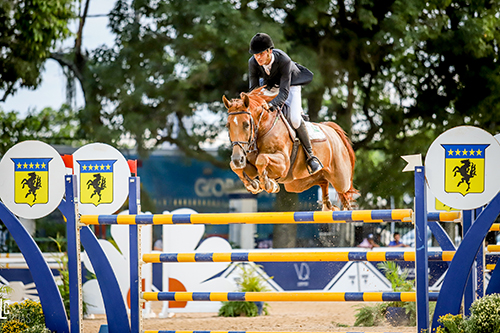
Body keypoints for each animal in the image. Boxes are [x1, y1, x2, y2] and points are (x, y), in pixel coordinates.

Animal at [222, 87, 356, 209]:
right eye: (228, 125)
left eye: (246, 125)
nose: (237, 159)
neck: (263, 129)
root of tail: (331, 129)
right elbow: (234, 167)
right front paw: (253, 185)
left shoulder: (283, 165)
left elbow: (262, 159)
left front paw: (269, 185)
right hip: (296, 183)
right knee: (323, 180)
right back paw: (328, 205)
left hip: (340, 179)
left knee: (345, 192)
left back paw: (346, 208)